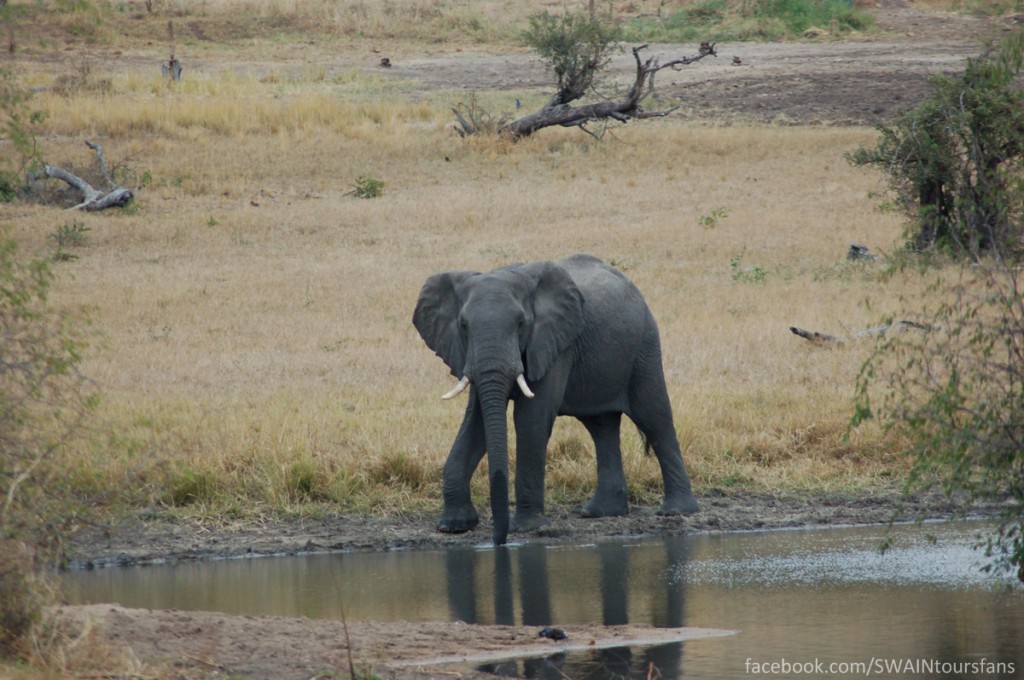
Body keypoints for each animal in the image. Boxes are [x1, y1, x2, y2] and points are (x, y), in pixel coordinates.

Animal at [411, 251, 700, 544]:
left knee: (654, 417)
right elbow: (477, 423)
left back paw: (676, 510)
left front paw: (527, 527)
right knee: (602, 427)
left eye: (521, 324)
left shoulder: (555, 345)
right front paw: (453, 525)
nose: (499, 540)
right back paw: (600, 512)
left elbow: (530, 419)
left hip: (644, 344)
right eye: (463, 326)